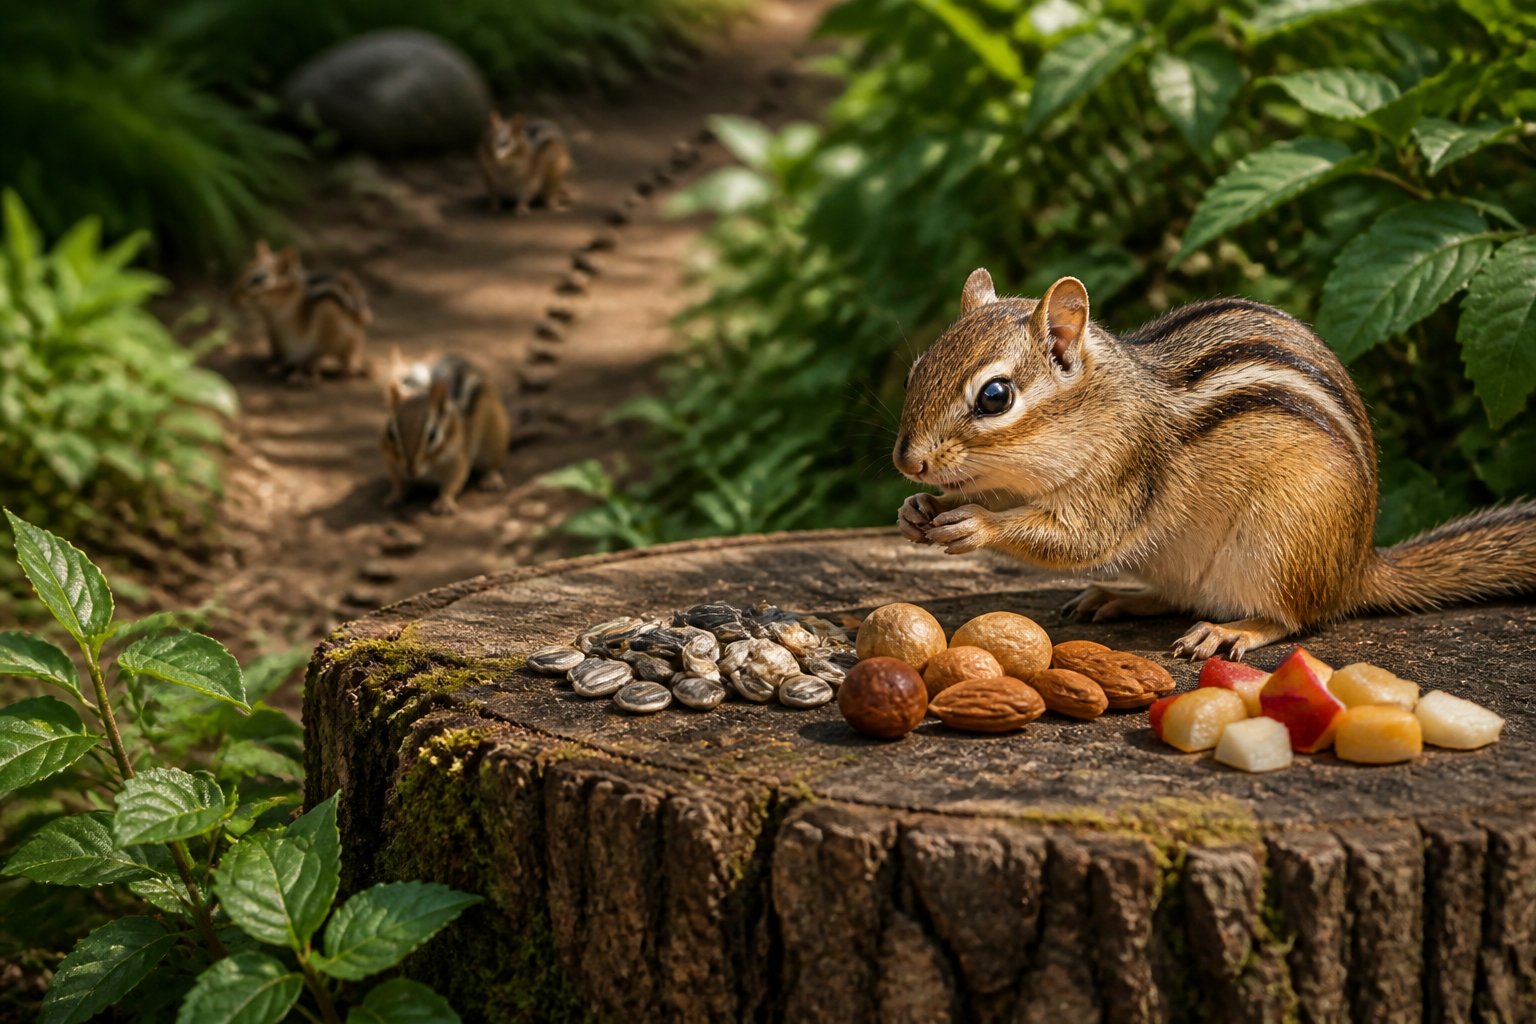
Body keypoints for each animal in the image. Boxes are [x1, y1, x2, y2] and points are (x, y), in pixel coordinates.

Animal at [234, 240, 370, 381]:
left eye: (258, 280)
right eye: (245, 267)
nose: (232, 300)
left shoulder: (293, 336)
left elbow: (295, 354)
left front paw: (292, 372)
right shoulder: (276, 335)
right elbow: (280, 355)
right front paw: (274, 365)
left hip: (336, 331)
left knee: (347, 358)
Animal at [381, 349, 511, 515]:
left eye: (433, 435)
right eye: (390, 433)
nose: (411, 470)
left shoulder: (457, 459)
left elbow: (452, 483)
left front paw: (444, 502)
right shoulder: (391, 460)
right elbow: (397, 481)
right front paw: (394, 496)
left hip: (495, 439)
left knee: (494, 464)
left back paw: (491, 479)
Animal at [894, 268, 1536, 661]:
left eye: (995, 396)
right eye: (917, 368)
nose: (908, 461)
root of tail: (1356, 567)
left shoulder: (1127, 472)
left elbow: (1081, 538)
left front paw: (975, 524)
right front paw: (918, 509)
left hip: (1283, 541)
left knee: (1294, 617)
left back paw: (1231, 630)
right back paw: (1122, 597)